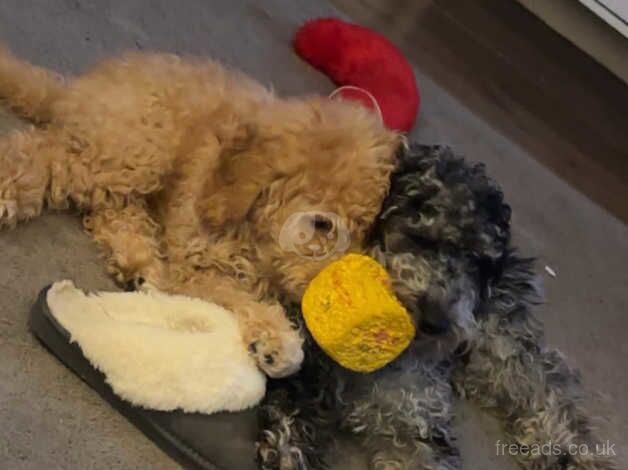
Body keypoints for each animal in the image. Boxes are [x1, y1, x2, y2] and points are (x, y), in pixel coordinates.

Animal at [0, 46, 398, 378]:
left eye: (366, 235)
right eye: (322, 224)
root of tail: (77, 89)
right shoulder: (194, 264)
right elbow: (235, 293)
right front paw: (279, 341)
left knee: (112, 208)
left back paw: (139, 262)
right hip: (134, 149)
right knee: (46, 155)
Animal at [258, 144, 616, 470]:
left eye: (476, 261)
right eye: (420, 238)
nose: (435, 322)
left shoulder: (411, 412)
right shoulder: (304, 376)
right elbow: (290, 430)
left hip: (501, 336)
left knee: (544, 383)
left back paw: (573, 453)